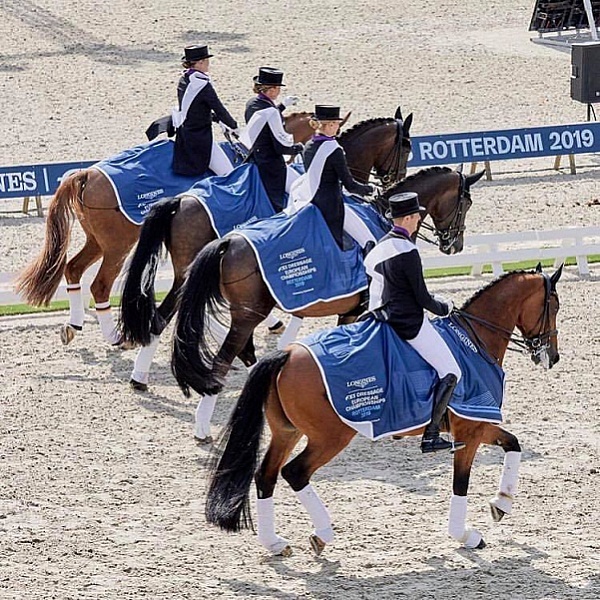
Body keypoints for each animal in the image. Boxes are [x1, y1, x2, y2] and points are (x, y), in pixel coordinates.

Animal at [12, 113, 318, 346]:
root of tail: (86, 173)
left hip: (98, 243)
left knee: (73, 268)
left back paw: (73, 326)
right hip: (117, 247)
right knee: (99, 286)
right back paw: (115, 337)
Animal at [171, 166, 486, 438]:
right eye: (467, 203)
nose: (453, 245)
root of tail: (228, 241)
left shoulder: (351, 311)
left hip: (244, 314)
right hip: (249, 316)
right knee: (222, 360)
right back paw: (203, 427)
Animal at [205, 264, 564, 556]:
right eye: (555, 307)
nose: (552, 356)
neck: (474, 342)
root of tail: (287, 354)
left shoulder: (478, 425)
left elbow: (513, 443)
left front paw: (501, 503)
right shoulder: (469, 431)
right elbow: (460, 483)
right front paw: (465, 535)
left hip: (287, 431)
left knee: (265, 475)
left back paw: (275, 543)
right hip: (330, 437)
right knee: (295, 472)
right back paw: (322, 534)